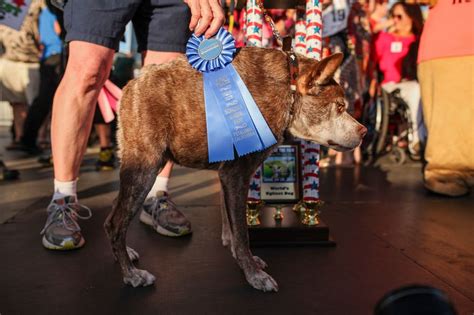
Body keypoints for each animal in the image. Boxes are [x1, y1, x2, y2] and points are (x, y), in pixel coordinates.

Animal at [105, 47, 368, 294]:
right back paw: (131, 274)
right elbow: (242, 233)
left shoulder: (227, 176)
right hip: (145, 168)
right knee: (116, 223)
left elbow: (231, 228)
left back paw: (126, 253)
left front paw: (245, 261)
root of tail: (131, 85)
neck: (288, 90)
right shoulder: (236, 175)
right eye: (340, 106)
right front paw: (253, 275)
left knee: (113, 215)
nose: (364, 131)